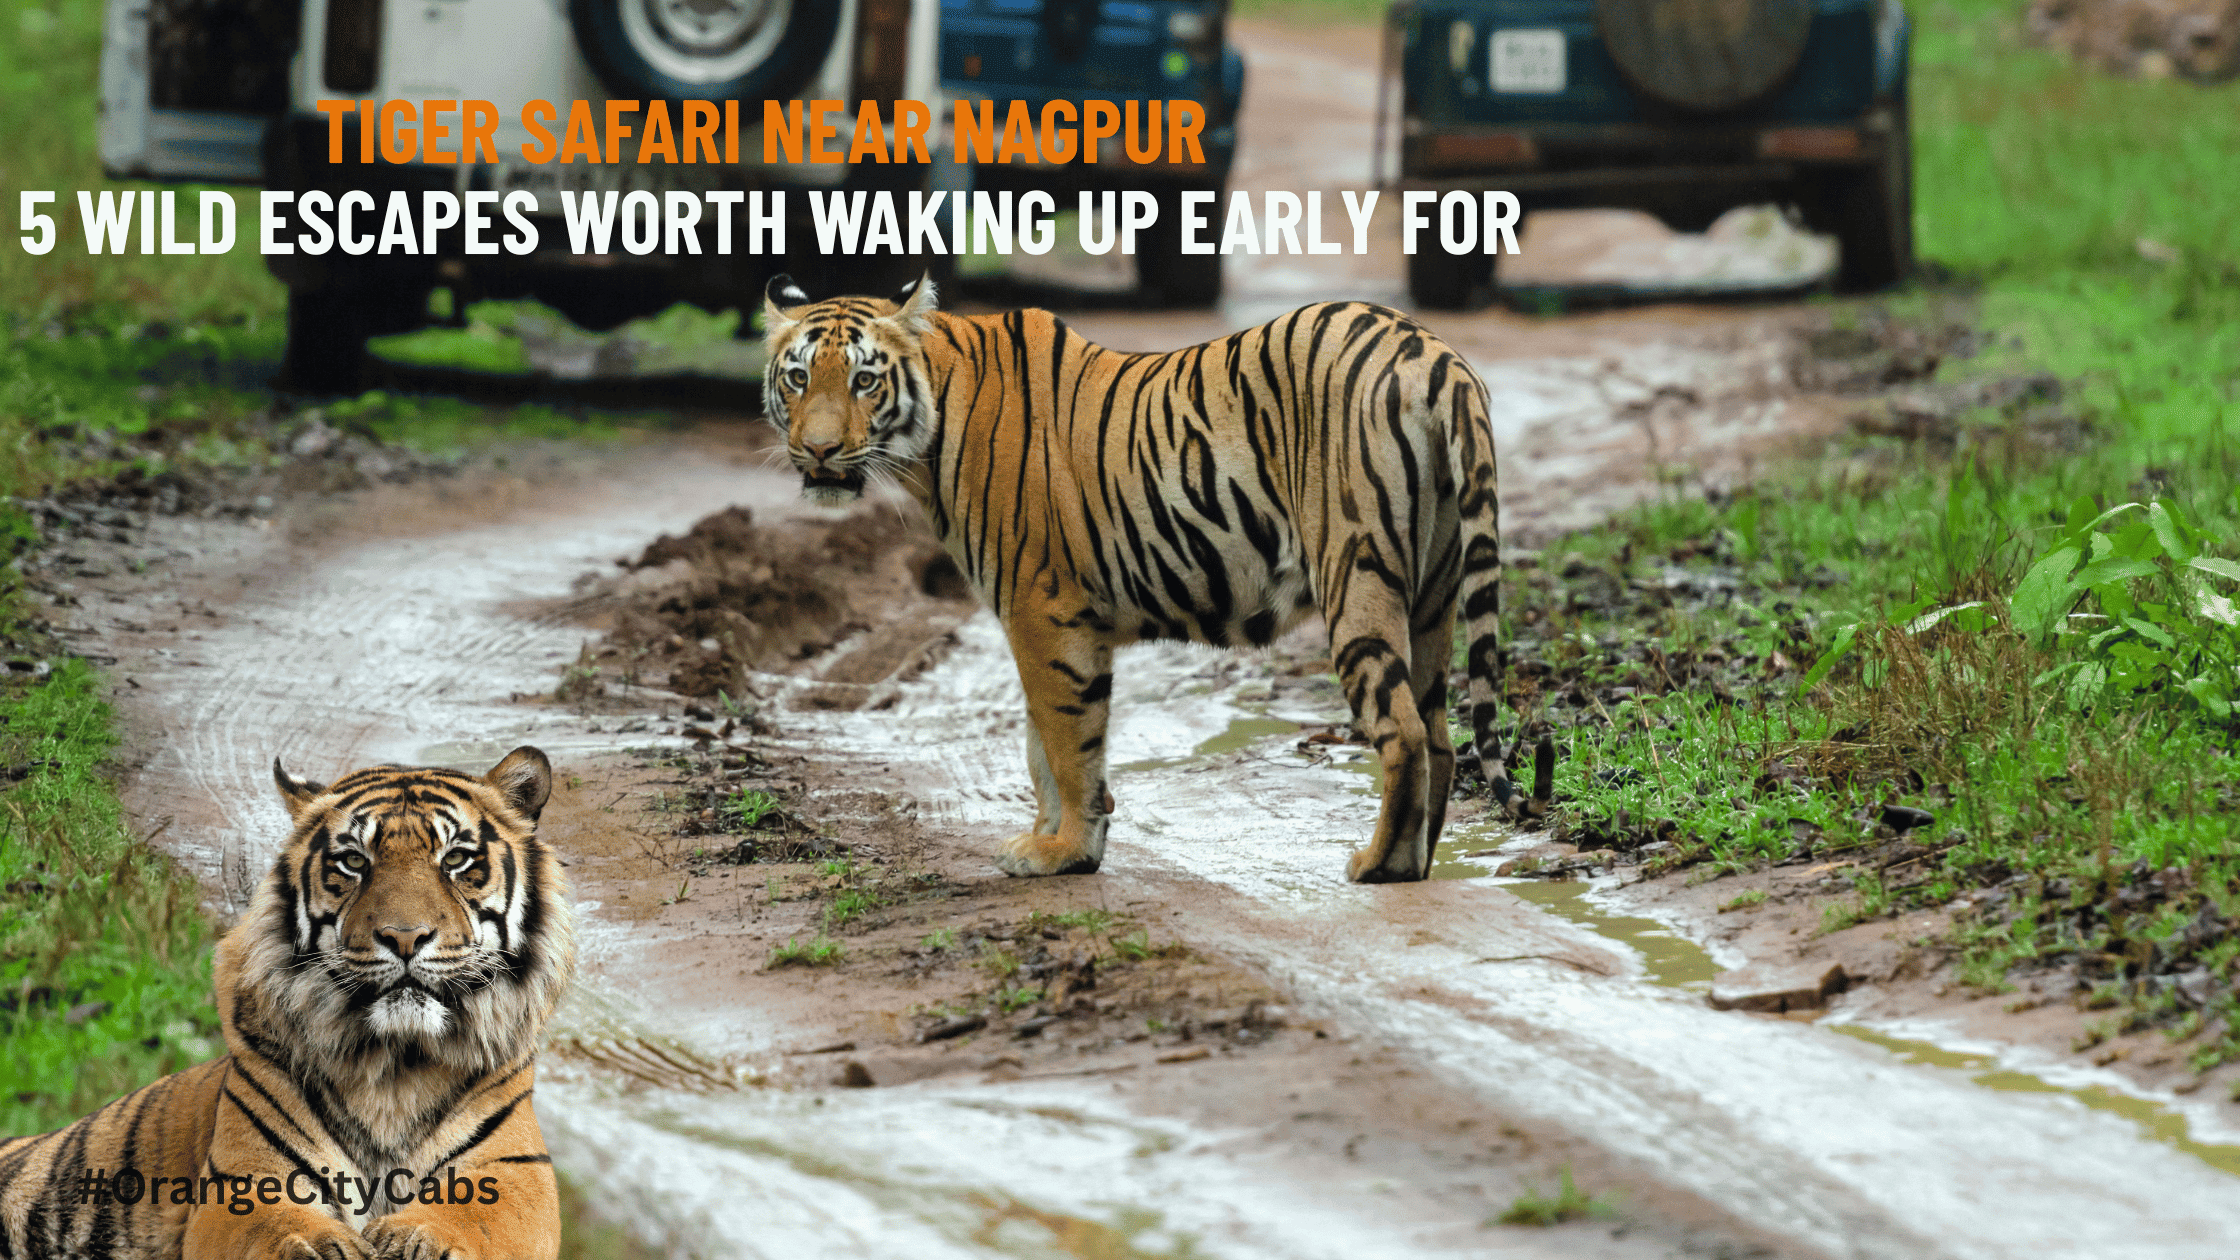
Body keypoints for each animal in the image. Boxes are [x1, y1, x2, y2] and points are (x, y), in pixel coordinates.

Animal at [0, 748, 573, 1260]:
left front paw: (414, 1238)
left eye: (455, 859)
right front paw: (324, 1247)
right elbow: (279, 1233)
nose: (404, 937)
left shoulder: (515, 1180)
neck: (395, 1069)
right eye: (354, 861)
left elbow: (472, 1219)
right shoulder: (245, 1183)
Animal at [761, 274, 1543, 883]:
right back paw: (1415, 861)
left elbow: (1064, 740)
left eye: (864, 380)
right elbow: (1042, 743)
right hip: (1434, 594)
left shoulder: (1042, 610)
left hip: (1356, 574)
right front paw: (1055, 840)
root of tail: (1433, 353)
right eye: (798, 377)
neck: (932, 430)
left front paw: (1065, 850)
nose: (819, 451)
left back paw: (1378, 865)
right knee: (1440, 736)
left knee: (1403, 731)